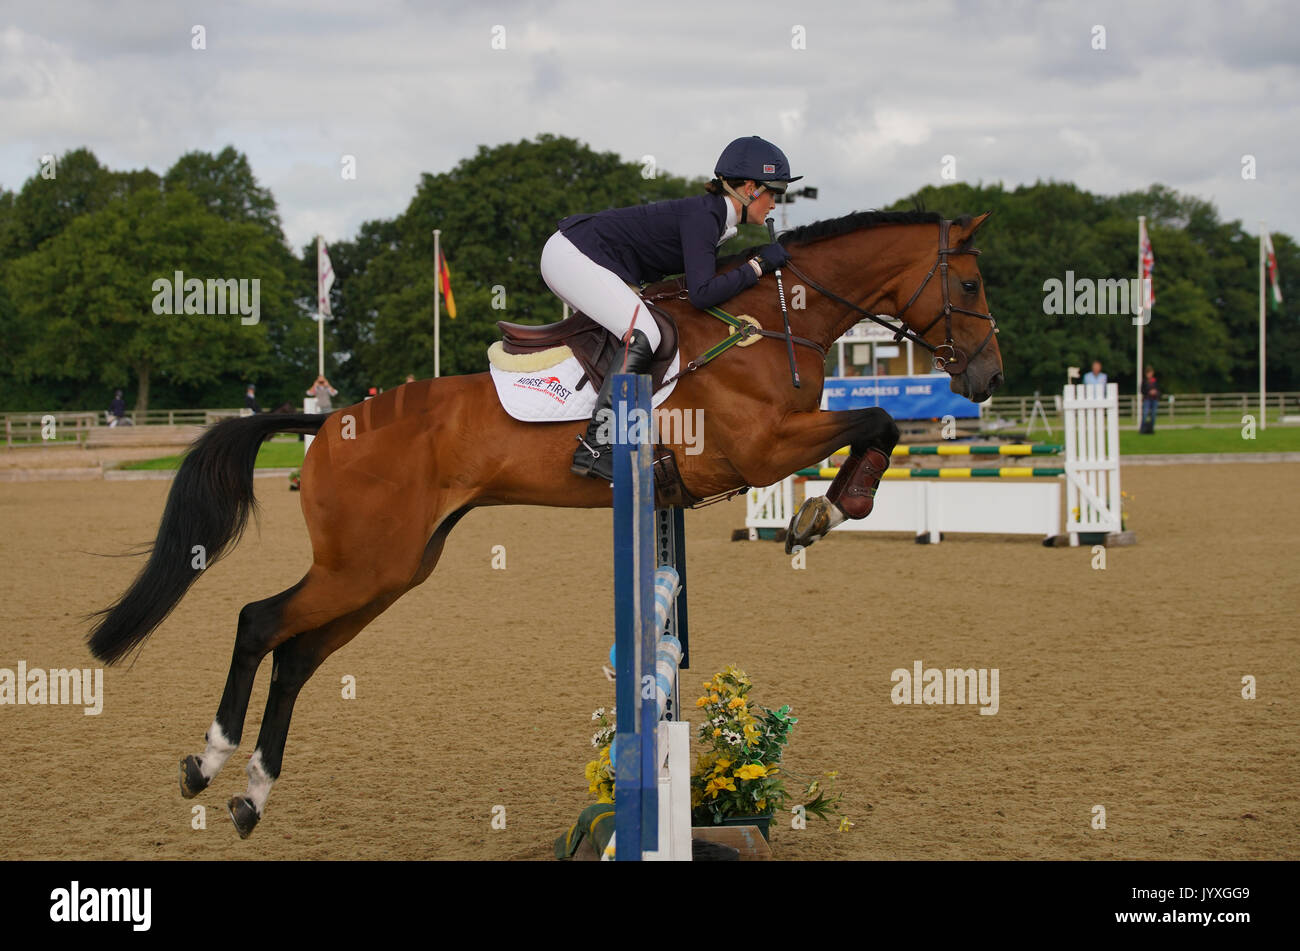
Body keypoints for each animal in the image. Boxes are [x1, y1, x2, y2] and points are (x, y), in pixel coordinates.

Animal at [86, 210, 998, 841]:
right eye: (970, 285)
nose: (988, 375)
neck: (766, 323)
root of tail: (331, 419)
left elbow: (875, 422)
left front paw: (826, 508)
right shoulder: (757, 448)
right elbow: (877, 416)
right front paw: (828, 508)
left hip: (391, 570)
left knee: (297, 654)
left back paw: (252, 794)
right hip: (362, 566)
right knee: (258, 622)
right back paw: (206, 765)